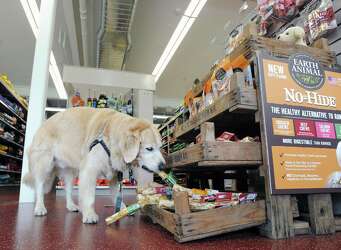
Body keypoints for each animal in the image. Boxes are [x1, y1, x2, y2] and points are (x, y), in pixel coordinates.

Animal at [23, 107, 164, 223]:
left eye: (160, 147)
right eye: (149, 148)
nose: (163, 165)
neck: (111, 137)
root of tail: (42, 125)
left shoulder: (114, 176)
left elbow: (117, 195)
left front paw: (123, 209)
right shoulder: (89, 171)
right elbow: (89, 197)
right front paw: (90, 215)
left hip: (70, 173)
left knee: (68, 190)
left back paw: (71, 206)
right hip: (44, 166)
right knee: (39, 188)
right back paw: (39, 207)